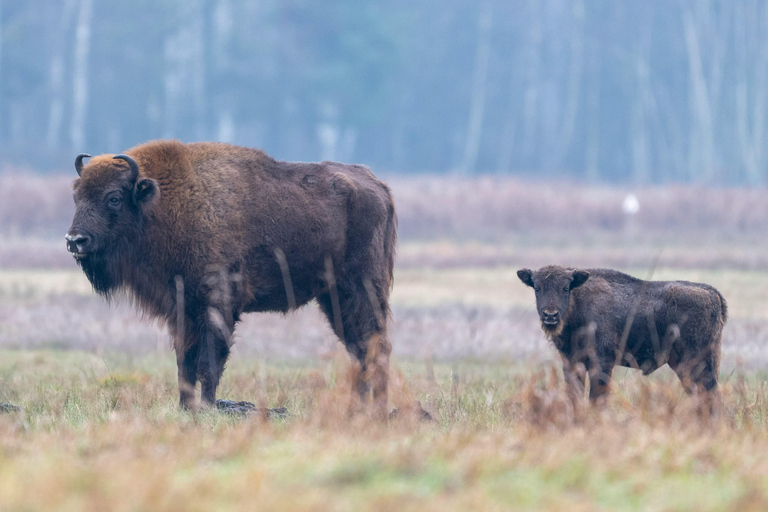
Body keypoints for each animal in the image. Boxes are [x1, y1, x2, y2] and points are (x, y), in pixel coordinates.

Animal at [66, 140, 396, 417]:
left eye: (114, 198)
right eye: (76, 195)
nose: (75, 240)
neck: (163, 202)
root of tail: (379, 187)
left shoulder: (218, 304)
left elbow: (208, 364)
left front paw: (206, 408)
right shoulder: (182, 309)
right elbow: (184, 364)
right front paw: (185, 408)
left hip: (362, 288)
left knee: (375, 345)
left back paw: (377, 410)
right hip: (333, 296)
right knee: (359, 348)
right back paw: (358, 409)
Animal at [517, 265, 727, 408]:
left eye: (566, 288)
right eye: (537, 288)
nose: (550, 315)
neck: (578, 303)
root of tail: (713, 295)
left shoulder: (602, 364)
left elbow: (597, 399)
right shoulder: (572, 364)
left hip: (699, 364)